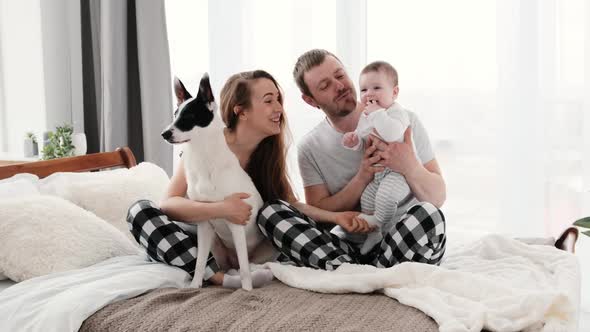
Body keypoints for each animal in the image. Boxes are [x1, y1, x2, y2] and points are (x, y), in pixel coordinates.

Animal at [164, 73, 270, 290]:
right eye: (175, 115)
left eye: (188, 117)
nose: (164, 134)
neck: (204, 157)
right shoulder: (204, 223)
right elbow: (199, 263)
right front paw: (194, 286)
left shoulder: (237, 224)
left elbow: (245, 270)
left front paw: (247, 291)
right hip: (215, 244)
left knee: (248, 265)